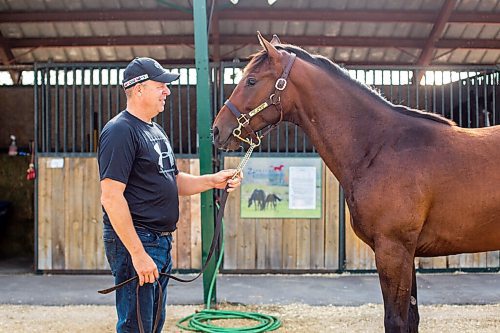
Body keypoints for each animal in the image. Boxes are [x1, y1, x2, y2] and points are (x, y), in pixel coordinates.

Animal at [212, 32, 500, 330]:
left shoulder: (393, 249)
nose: (217, 130)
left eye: (251, 80)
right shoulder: (406, 252)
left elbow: (396, 320)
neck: (380, 147)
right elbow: (412, 318)